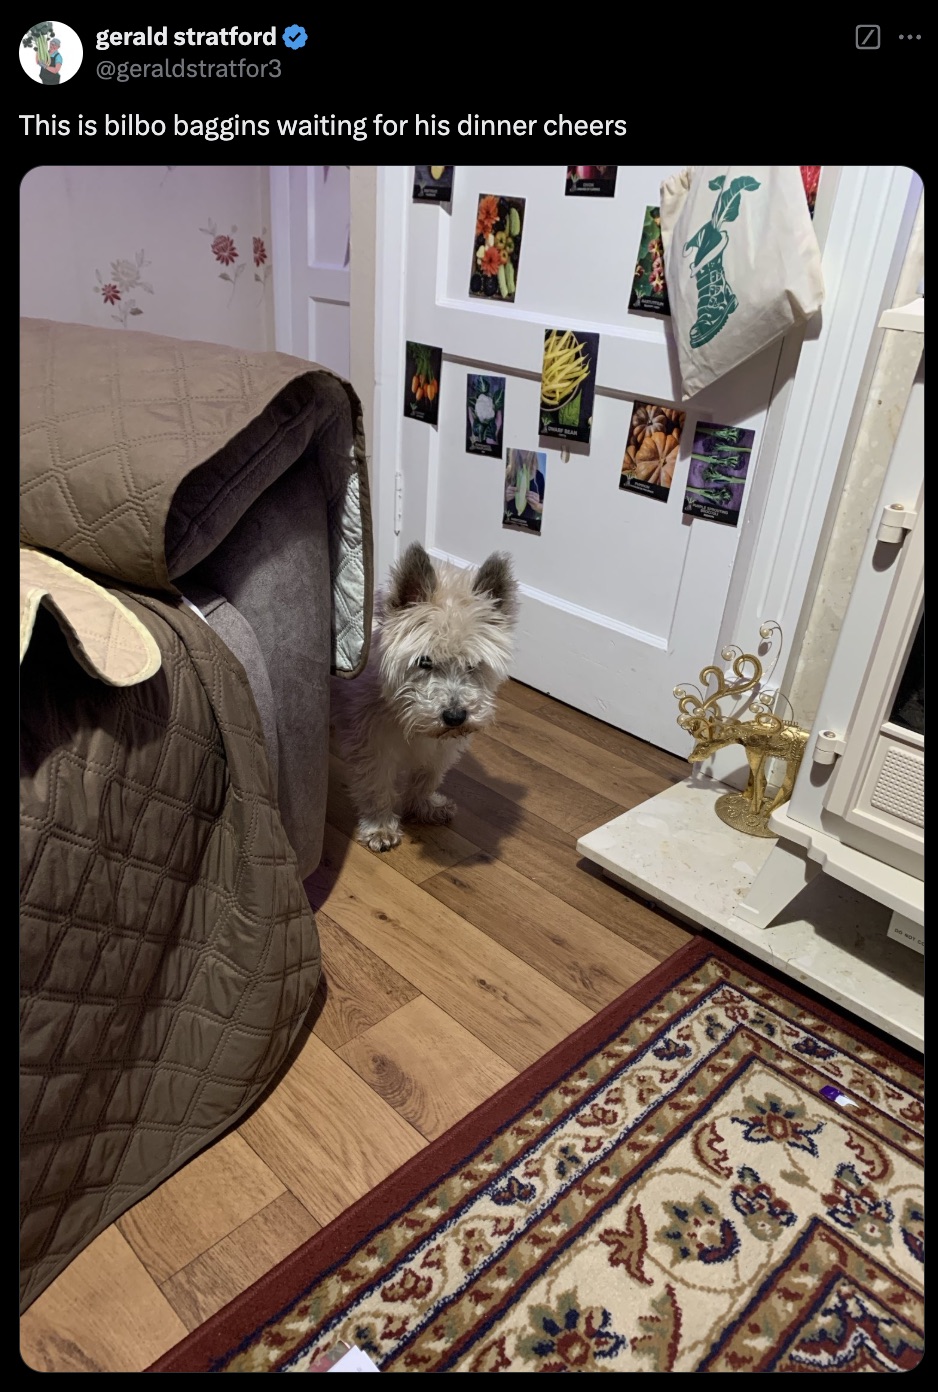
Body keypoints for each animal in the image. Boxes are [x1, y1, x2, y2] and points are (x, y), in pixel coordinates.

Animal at [331, 540, 517, 846]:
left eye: (473, 665)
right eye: (425, 662)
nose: (455, 716)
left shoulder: (441, 747)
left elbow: (427, 776)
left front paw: (423, 806)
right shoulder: (372, 745)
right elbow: (376, 784)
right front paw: (380, 826)